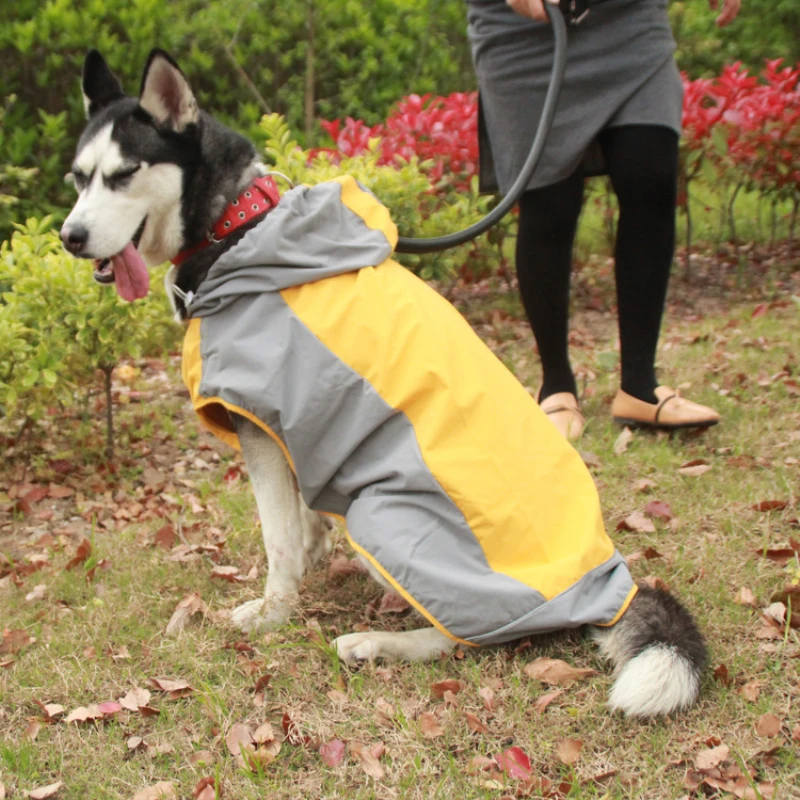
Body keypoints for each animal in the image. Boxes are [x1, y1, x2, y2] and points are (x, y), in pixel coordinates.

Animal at [64, 50, 712, 720]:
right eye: (78, 179)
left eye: (124, 176)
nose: (70, 237)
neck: (237, 227)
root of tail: (609, 587)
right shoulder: (291, 424)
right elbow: (301, 516)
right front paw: (311, 555)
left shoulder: (258, 425)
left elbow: (276, 538)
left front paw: (271, 613)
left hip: (380, 516)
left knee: (471, 638)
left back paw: (376, 643)